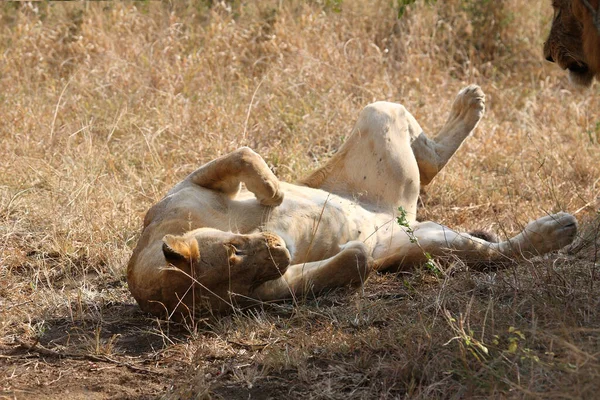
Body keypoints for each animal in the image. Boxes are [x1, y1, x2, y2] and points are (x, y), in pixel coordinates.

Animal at [125, 86, 576, 320]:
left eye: (236, 250)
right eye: (245, 279)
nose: (282, 251)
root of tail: (401, 215)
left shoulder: (181, 190)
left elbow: (243, 155)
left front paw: (275, 193)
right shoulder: (267, 294)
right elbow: (352, 262)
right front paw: (353, 251)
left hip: (377, 121)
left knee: (426, 153)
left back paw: (470, 102)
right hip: (426, 240)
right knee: (494, 252)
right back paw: (557, 231)